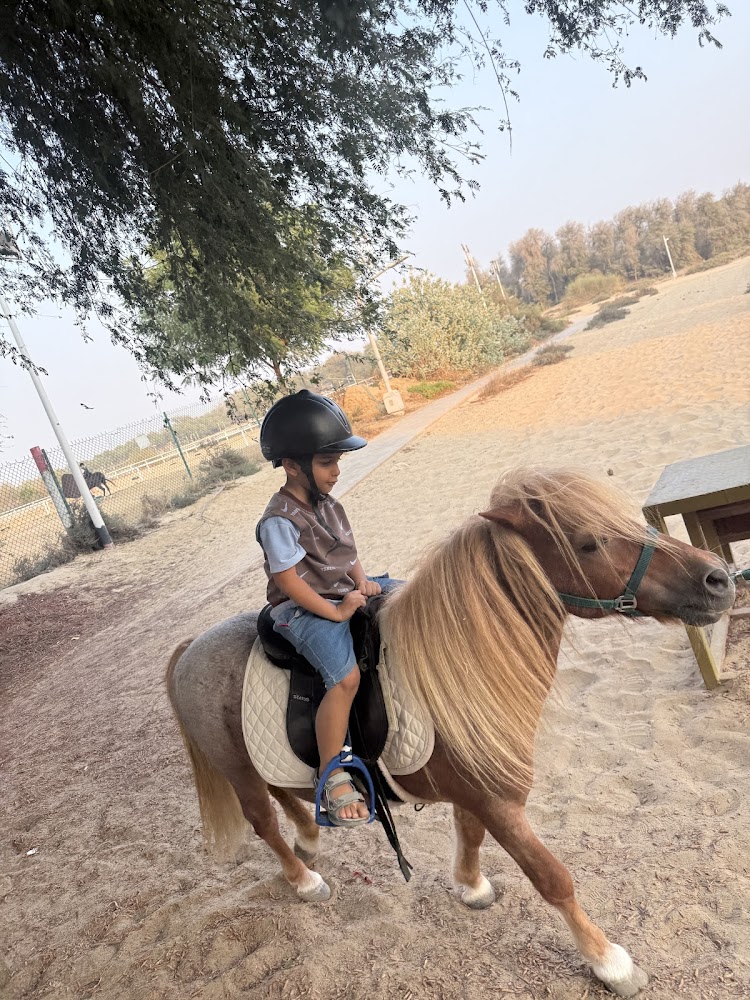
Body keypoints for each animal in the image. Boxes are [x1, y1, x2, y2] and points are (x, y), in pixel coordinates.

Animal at [166, 468, 734, 997]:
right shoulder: (499, 801)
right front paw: (609, 962)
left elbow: (470, 833)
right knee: (262, 819)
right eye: (589, 541)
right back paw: (304, 880)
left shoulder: (479, 793)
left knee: (283, 791)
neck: (457, 669)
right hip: (236, 767)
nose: (719, 579)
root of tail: (193, 647)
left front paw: (471, 885)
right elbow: (552, 877)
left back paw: (308, 835)